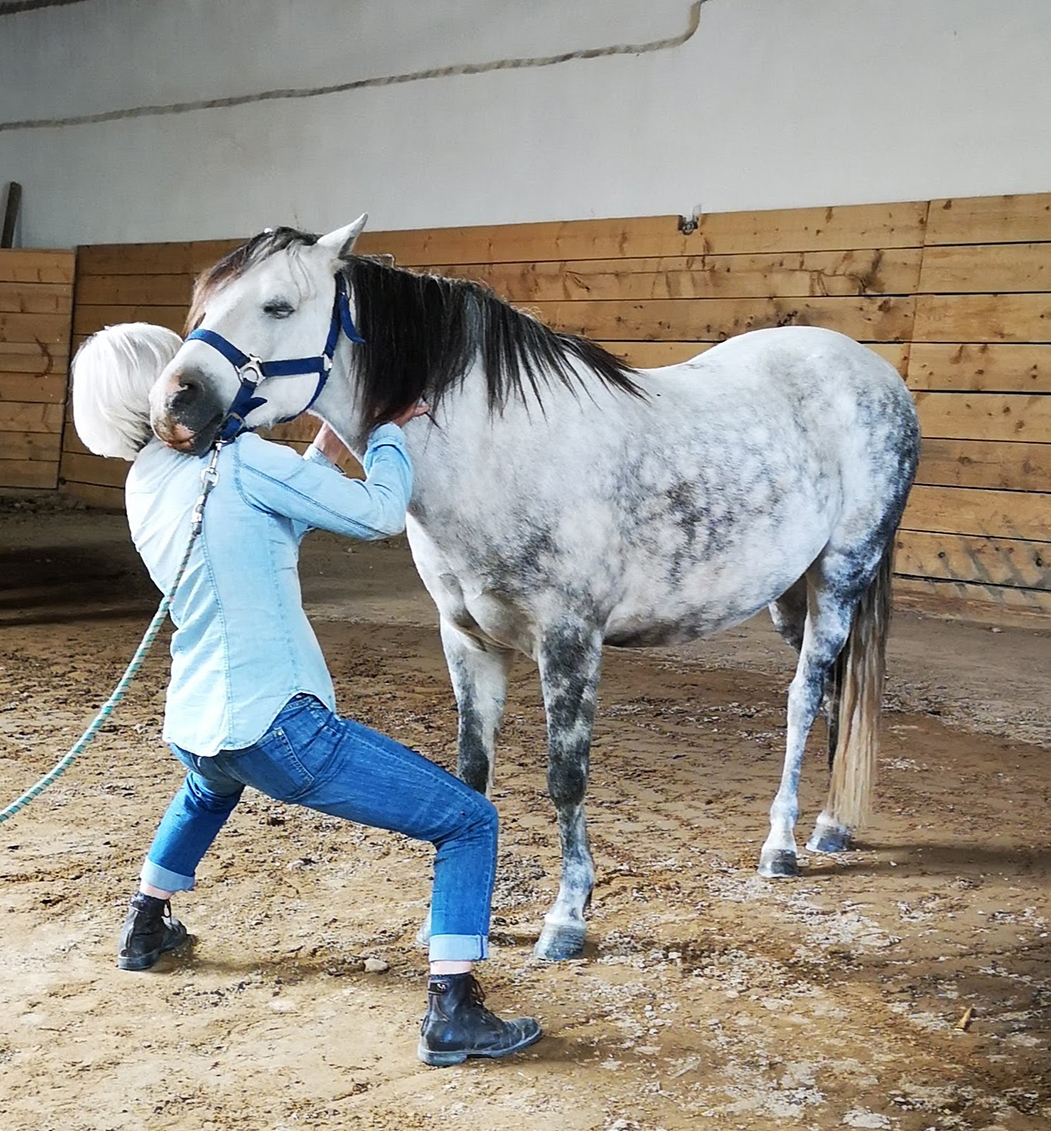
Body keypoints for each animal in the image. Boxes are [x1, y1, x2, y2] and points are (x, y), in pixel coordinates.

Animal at [147, 216, 918, 959]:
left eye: (278, 305)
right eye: (204, 304)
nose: (172, 406)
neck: (496, 451)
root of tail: (873, 371)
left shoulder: (570, 640)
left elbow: (564, 779)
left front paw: (566, 918)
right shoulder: (466, 639)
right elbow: (470, 772)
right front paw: (449, 922)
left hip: (841, 576)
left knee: (803, 697)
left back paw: (782, 843)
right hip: (791, 594)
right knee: (835, 694)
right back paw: (830, 823)